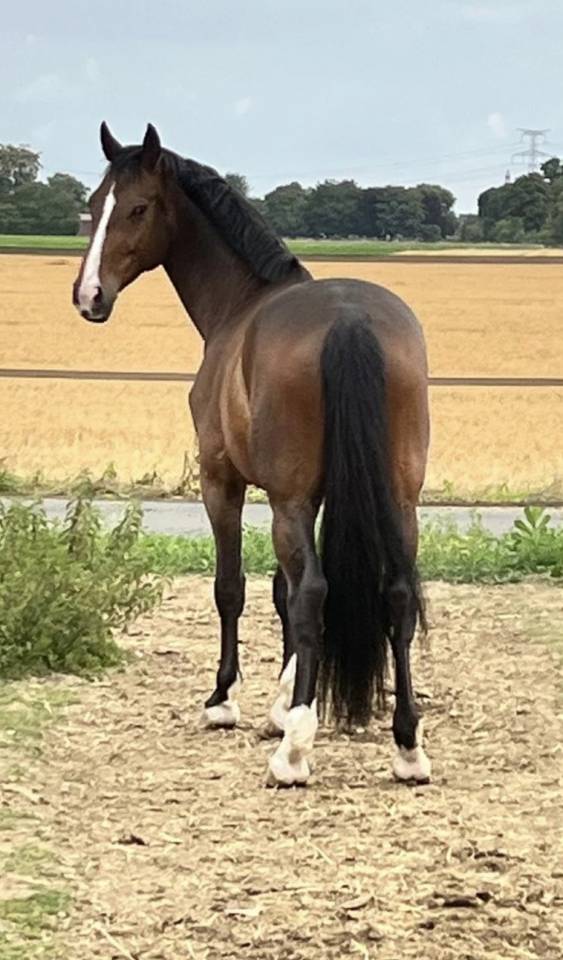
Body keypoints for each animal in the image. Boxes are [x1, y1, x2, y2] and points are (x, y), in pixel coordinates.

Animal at [73, 123, 431, 788]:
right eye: (93, 204)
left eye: (137, 208)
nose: (89, 296)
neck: (240, 303)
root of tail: (349, 320)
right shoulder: (311, 496)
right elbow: (281, 591)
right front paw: (285, 701)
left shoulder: (228, 484)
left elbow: (237, 586)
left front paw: (229, 701)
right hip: (399, 500)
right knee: (396, 592)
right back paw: (407, 746)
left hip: (287, 499)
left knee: (313, 590)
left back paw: (293, 756)